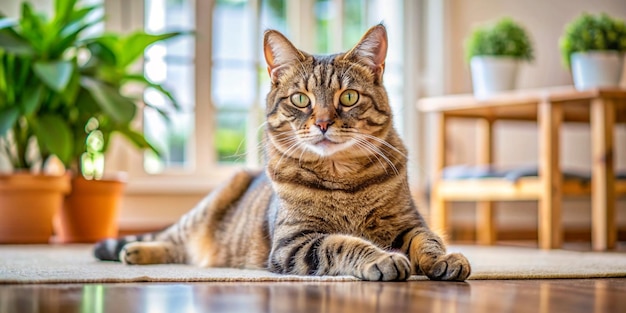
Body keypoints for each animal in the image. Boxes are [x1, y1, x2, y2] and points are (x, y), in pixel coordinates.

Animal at [94, 23, 468, 280]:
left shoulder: (409, 222)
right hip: (205, 211)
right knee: (174, 240)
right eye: (301, 99)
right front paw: (381, 257)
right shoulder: (295, 243)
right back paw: (136, 250)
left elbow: (429, 240)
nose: (323, 123)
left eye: (348, 97)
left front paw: (444, 259)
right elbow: (342, 243)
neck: (342, 179)